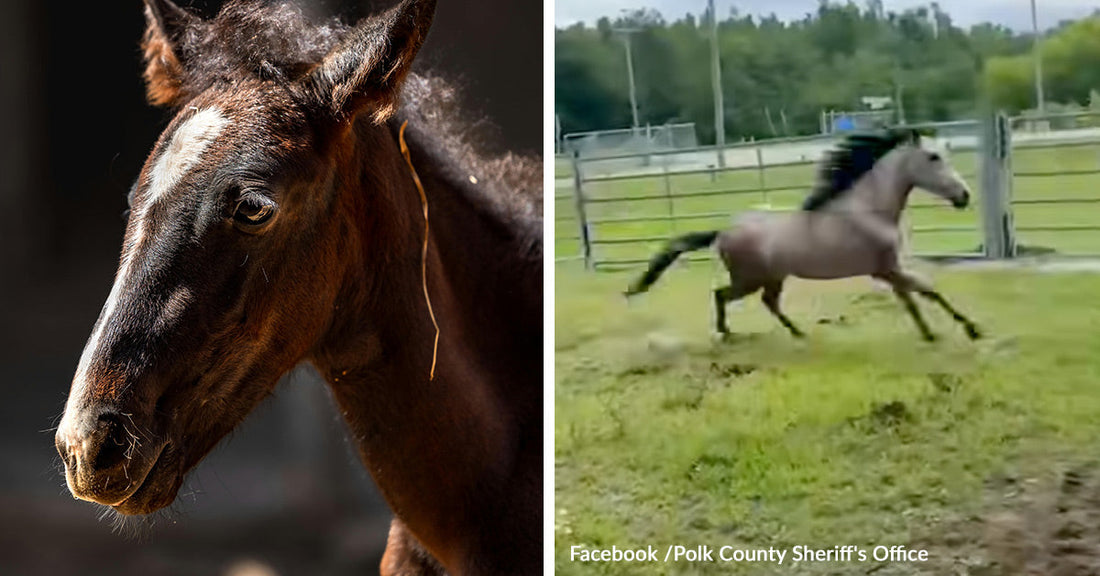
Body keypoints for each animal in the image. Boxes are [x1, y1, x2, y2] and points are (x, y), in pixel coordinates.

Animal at [625, 129, 982, 342]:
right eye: (933, 157)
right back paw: (725, 333)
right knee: (721, 294)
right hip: (749, 279)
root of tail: (722, 231)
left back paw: (798, 333)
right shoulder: (886, 268)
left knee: (768, 302)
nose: (964, 196)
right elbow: (927, 291)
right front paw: (970, 328)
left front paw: (933, 334)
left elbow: (914, 298)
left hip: (773, 277)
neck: (867, 209)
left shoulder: (890, 268)